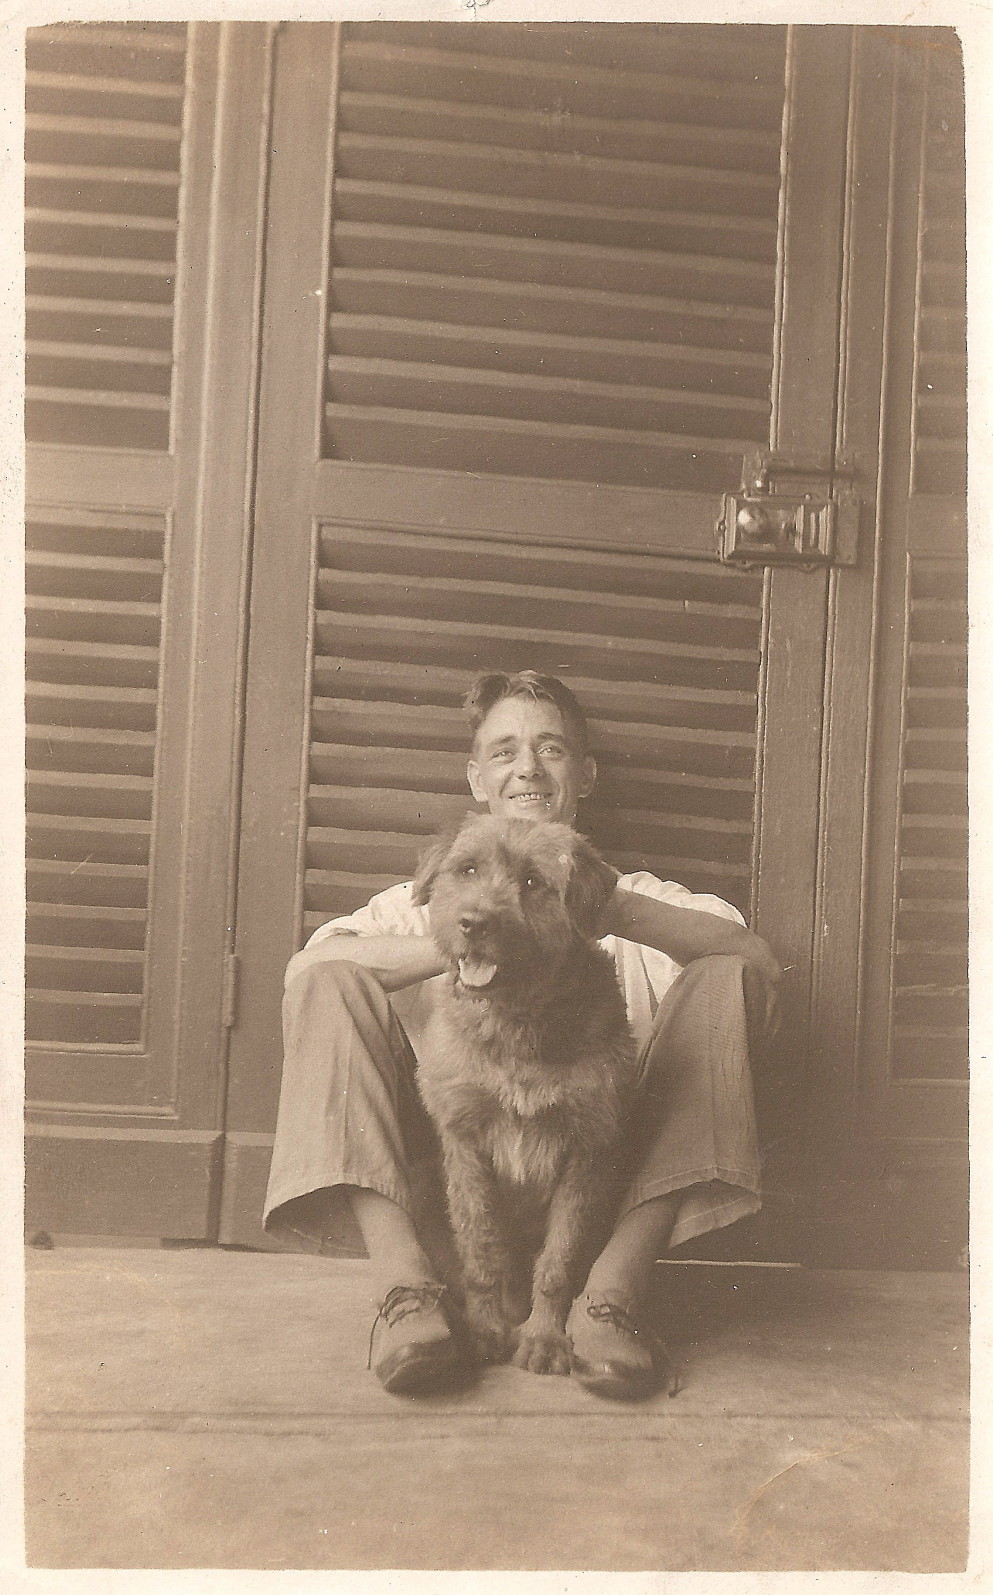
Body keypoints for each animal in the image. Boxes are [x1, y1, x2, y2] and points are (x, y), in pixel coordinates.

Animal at [411, 816, 637, 1378]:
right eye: (468, 869)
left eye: (534, 882)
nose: (472, 923)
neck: (516, 1025)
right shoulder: (465, 1139)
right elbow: (480, 1248)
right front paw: (486, 1328)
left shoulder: (586, 1148)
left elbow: (559, 1260)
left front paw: (543, 1339)